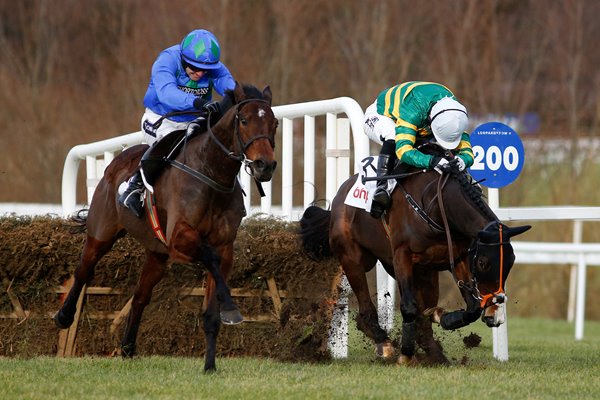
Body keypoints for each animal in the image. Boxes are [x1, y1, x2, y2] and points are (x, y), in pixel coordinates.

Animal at [54, 81, 278, 372]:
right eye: (244, 120)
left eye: (274, 123)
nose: (265, 165)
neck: (211, 174)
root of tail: (116, 162)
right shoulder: (179, 239)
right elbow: (209, 257)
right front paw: (230, 308)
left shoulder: (224, 246)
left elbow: (212, 306)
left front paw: (210, 365)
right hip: (101, 232)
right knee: (84, 270)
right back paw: (64, 316)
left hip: (157, 255)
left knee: (140, 296)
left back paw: (127, 348)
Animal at [300, 152, 528, 366]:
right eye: (483, 263)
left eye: (510, 263)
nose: (495, 309)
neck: (435, 205)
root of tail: (338, 200)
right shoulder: (402, 256)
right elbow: (409, 307)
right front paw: (406, 354)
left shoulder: (458, 257)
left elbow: (471, 307)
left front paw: (444, 318)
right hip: (353, 258)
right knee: (365, 307)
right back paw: (384, 342)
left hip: (421, 272)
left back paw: (434, 351)